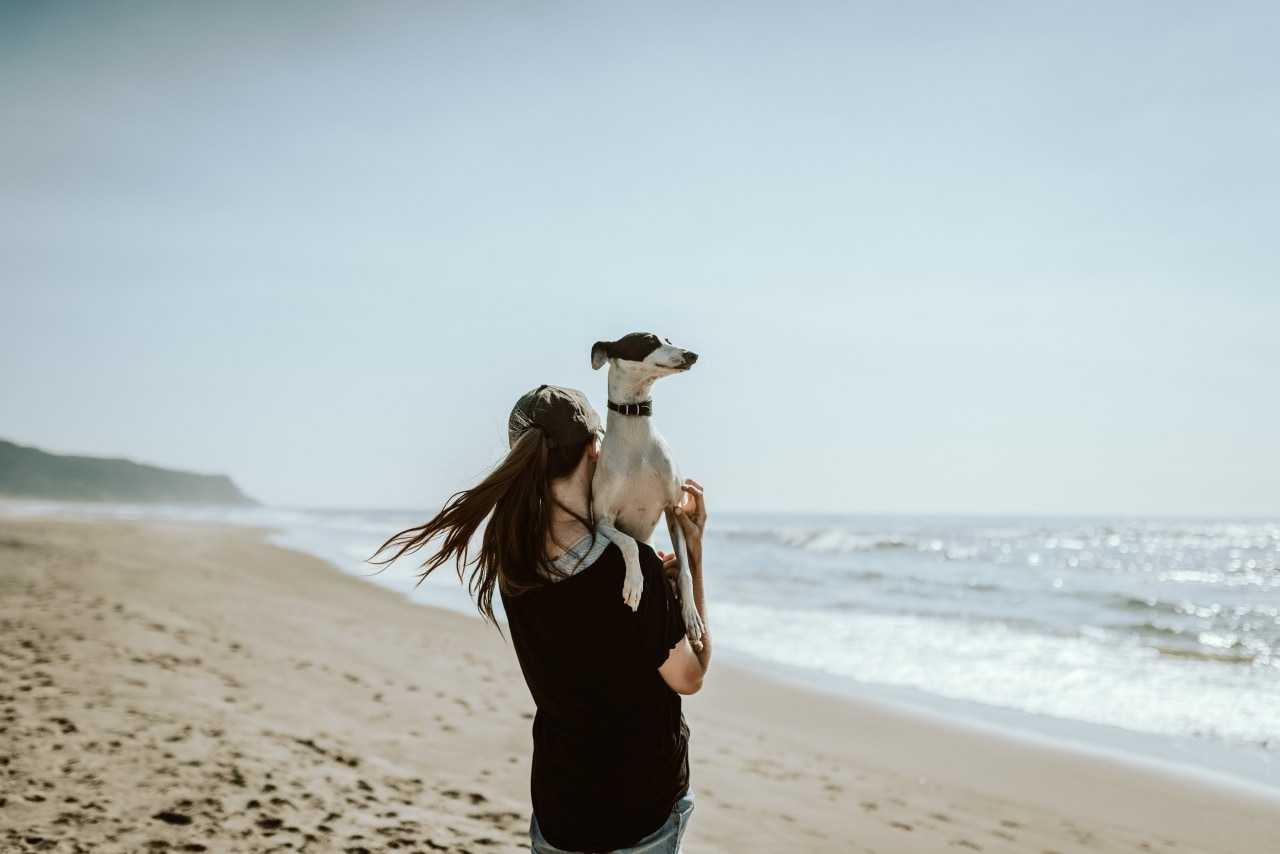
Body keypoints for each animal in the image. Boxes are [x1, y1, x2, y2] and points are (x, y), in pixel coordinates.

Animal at [586, 332, 706, 647]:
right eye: (648, 340)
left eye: (669, 339)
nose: (692, 355)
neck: (636, 436)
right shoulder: (602, 521)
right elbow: (629, 543)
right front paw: (634, 584)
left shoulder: (673, 510)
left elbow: (686, 571)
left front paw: (691, 616)